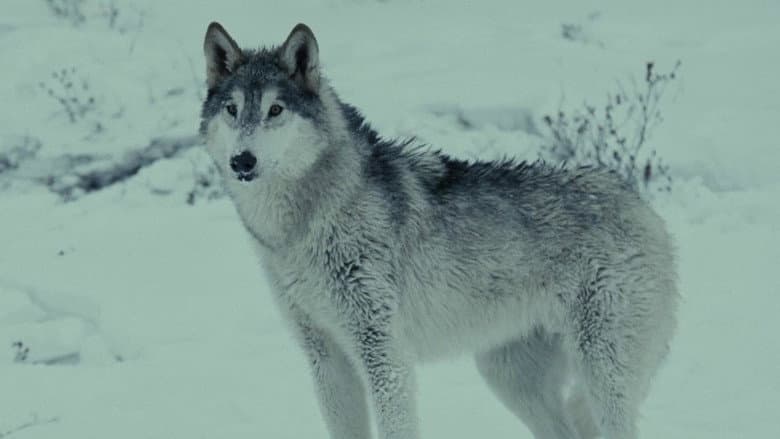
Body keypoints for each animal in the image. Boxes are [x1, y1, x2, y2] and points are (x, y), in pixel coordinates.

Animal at [199, 22, 678, 439]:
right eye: (232, 110)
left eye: (275, 110)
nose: (242, 161)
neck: (303, 225)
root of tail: (640, 202)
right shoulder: (327, 360)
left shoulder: (384, 352)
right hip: (510, 378)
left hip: (600, 378)